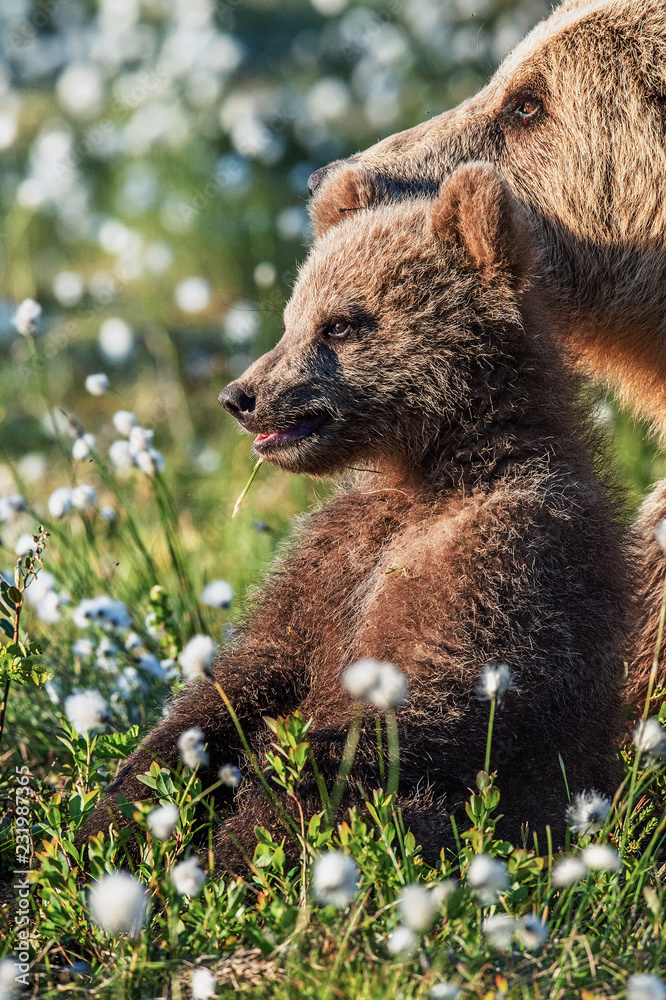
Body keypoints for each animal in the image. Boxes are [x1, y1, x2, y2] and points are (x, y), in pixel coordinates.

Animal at [80, 163, 629, 869]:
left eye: (339, 324)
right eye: (291, 318)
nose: (240, 396)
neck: (429, 472)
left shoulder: (503, 560)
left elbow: (404, 715)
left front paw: (240, 853)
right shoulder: (333, 558)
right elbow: (246, 675)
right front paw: (115, 815)